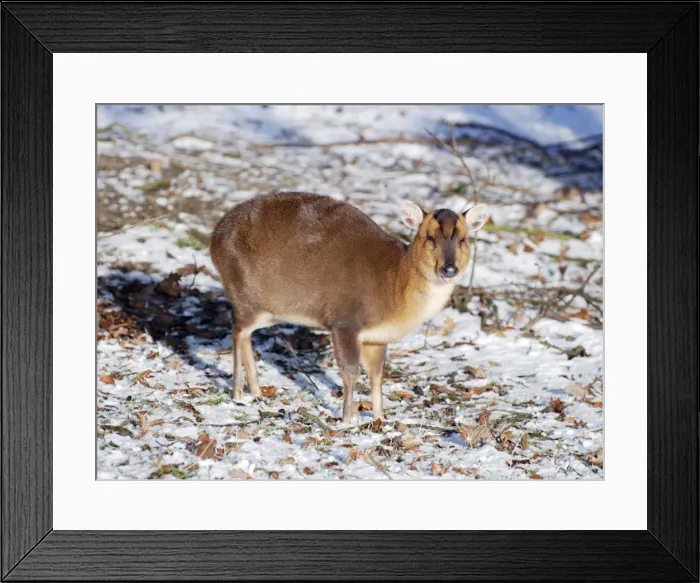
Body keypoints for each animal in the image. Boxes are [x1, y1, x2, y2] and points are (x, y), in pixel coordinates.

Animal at [210, 192, 488, 424]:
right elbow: (351, 372)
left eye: (463, 239)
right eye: (429, 237)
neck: (395, 284)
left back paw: (256, 390)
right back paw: (237, 393)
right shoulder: (345, 321)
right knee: (236, 329)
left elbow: (377, 375)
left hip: (267, 309)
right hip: (246, 293)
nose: (449, 269)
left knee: (245, 333)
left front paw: (380, 417)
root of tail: (214, 237)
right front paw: (347, 420)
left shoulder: (376, 337)